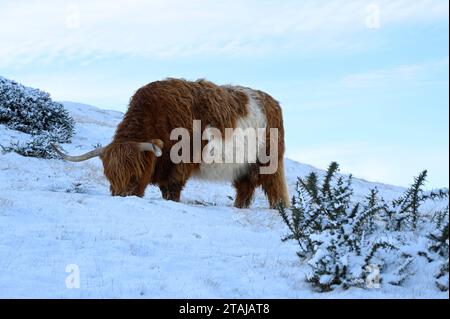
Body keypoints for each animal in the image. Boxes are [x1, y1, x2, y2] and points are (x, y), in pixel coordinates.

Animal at [52, 79, 290, 209]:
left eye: (135, 174)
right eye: (109, 177)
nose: (123, 197)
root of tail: (272, 101)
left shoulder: (180, 164)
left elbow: (172, 190)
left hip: (268, 161)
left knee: (274, 188)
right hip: (243, 166)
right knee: (244, 188)